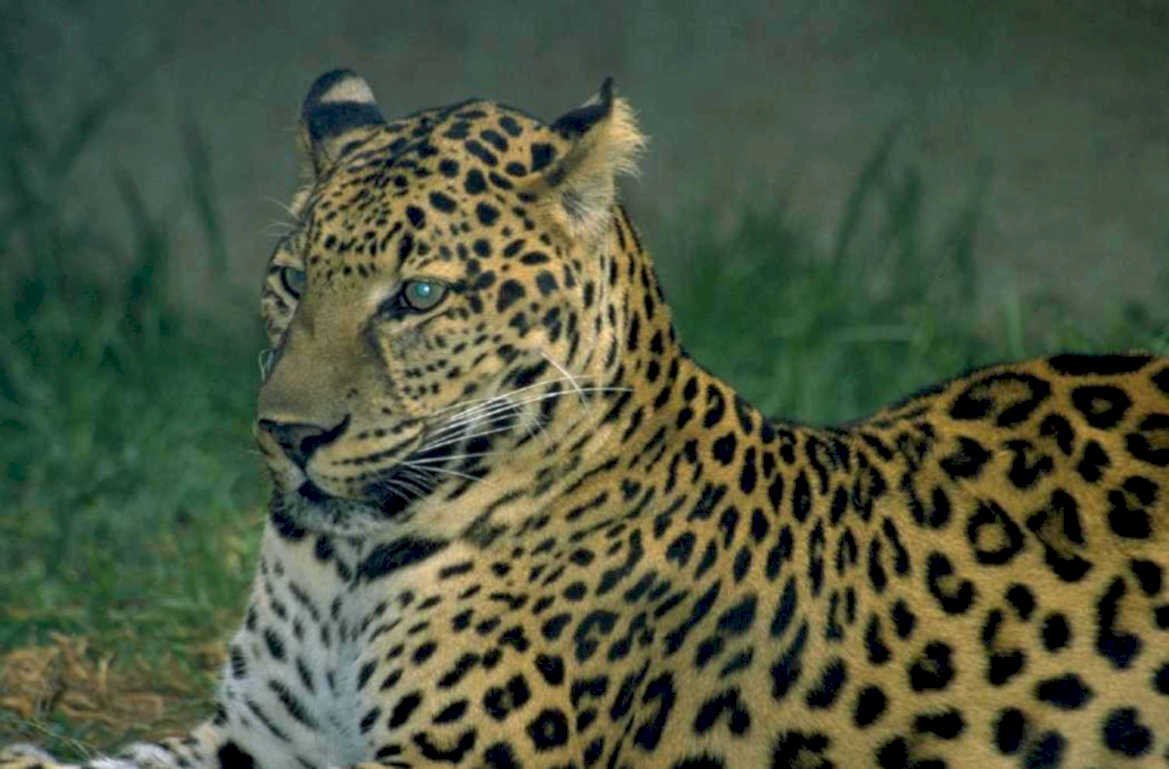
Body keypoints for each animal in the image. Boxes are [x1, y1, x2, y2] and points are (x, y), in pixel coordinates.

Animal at [5, 68, 1169, 769]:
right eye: (291, 282)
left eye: (416, 297)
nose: (289, 436)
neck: (346, 563)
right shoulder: (255, 737)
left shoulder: (452, 759)